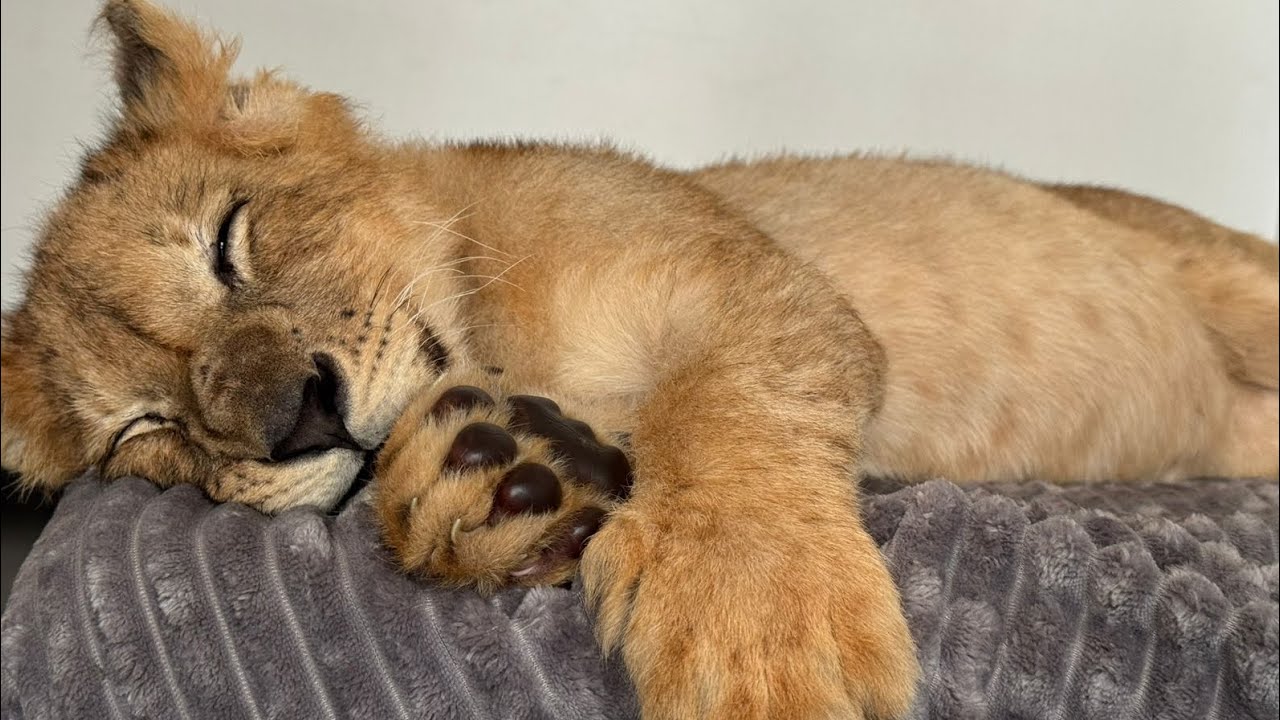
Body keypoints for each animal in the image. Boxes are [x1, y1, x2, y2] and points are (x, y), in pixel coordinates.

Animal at [2, 1, 1276, 717]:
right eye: (146, 428)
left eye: (230, 243)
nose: (294, 419)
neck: (501, 328)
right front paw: (483, 489)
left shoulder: (755, 281)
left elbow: (721, 407)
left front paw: (760, 632)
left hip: (1233, 280)